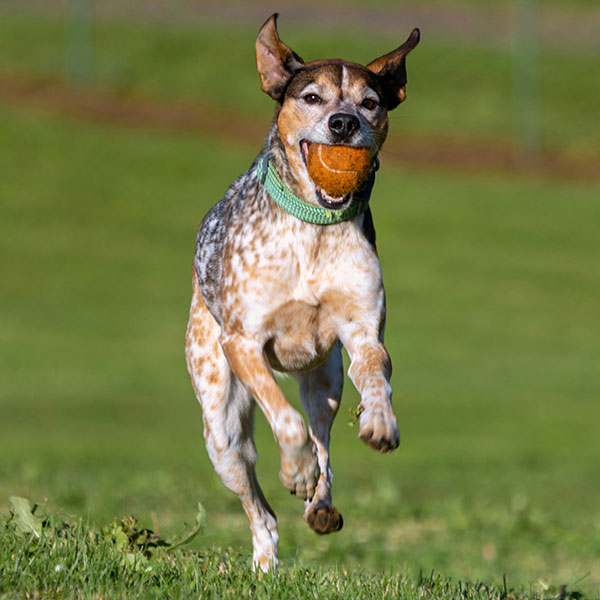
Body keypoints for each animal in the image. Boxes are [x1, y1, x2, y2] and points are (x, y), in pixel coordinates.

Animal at [185, 11, 420, 568]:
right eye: (311, 97)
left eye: (370, 101)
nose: (343, 123)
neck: (314, 227)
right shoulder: (243, 341)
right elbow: (284, 420)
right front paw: (295, 471)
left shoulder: (362, 330)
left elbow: (376, 371)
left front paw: (380, 422)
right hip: (219, 424)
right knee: (260, 505)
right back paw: (267, 555)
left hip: (325, 381)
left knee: (323, 434)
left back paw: (322, 504)